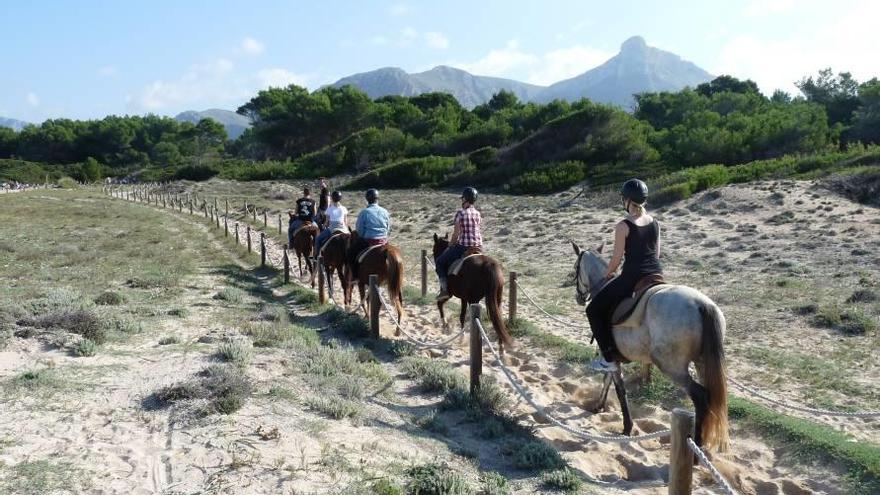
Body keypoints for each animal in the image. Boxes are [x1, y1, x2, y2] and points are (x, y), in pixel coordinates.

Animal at [572, 242, 728, 456]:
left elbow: (618, 387)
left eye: (575, 268)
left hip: (671, 367)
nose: (578, 297)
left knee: (700, 396)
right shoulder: (612, 358)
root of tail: (701, 304)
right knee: (710, 397)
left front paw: (626, 427)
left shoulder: (609, 355)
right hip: (702, 363)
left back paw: (696, 449)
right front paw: (599, 406)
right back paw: (703, 446)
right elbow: (608, 381)